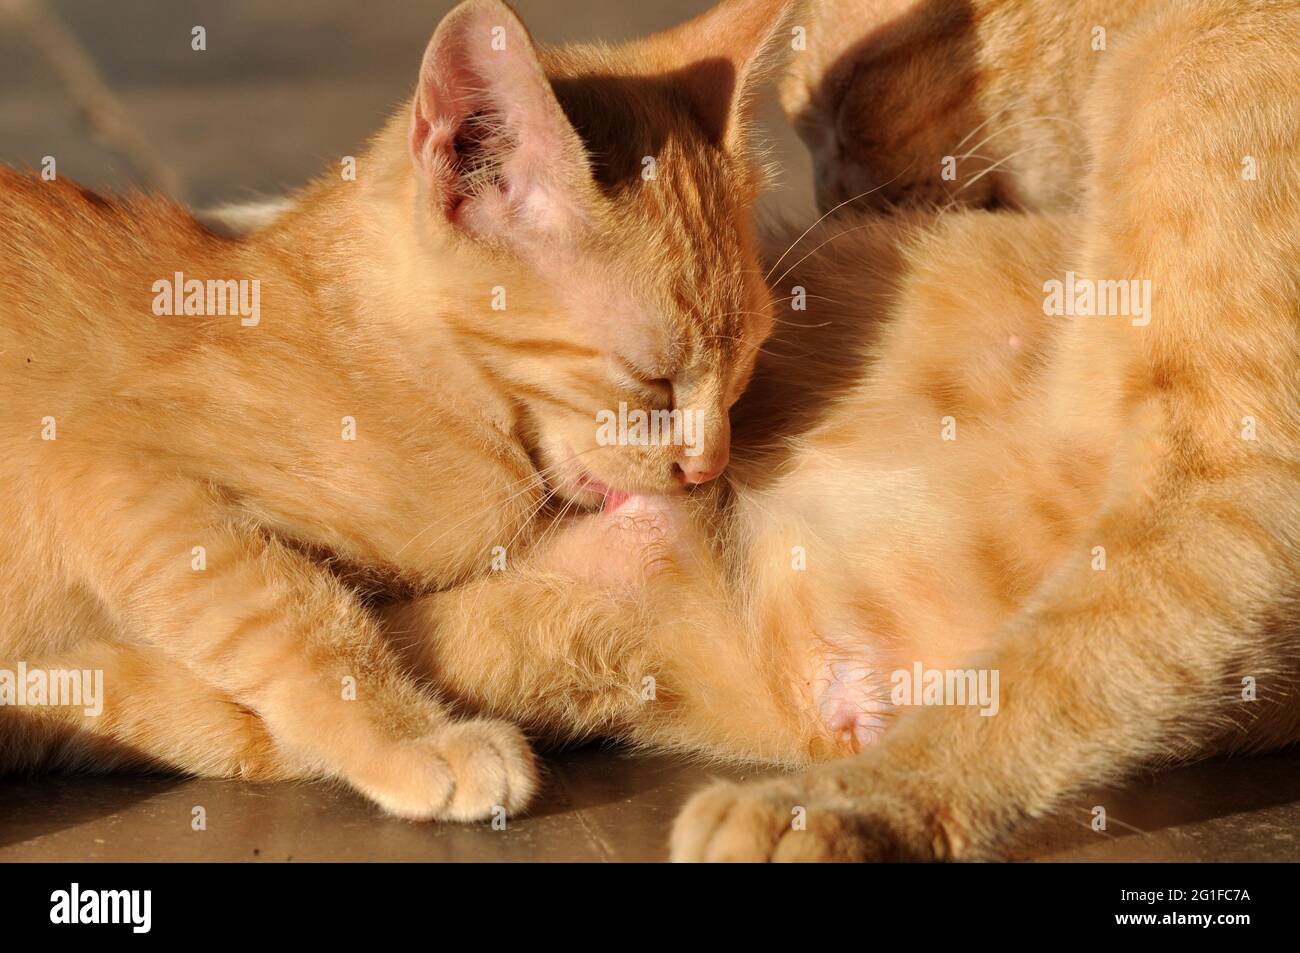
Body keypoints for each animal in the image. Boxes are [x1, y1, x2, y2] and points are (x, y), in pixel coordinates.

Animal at [0, 0, 790, 816]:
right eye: (653, 382)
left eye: (744, 369)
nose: (709, 467)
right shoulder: (95, 462)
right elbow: (292, 609)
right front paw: (419, 741)